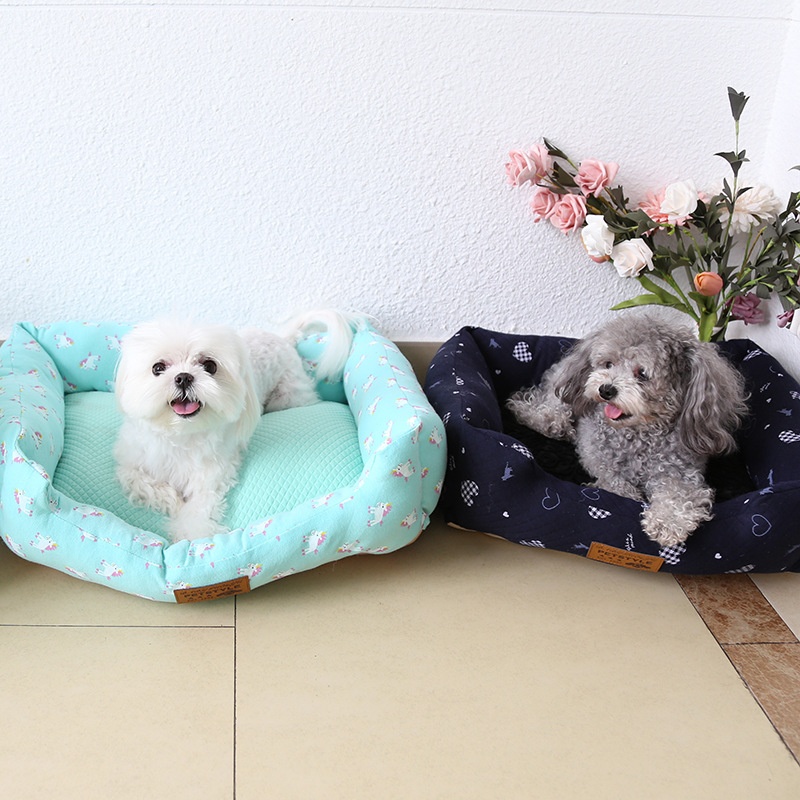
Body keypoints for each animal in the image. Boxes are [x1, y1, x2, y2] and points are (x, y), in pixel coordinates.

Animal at [114, 310, 362, 542]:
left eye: (210, 365)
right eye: (157, 368)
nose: (184, 377)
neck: (181, 435)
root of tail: (282, 337)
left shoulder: (214, 472)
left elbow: (200, 505)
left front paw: (192, 530)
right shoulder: (131, 462)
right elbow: (140, 482)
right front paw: (175, 502)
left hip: (289, 395)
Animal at [506, 313, 749, 547]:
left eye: (642, 373)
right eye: (608, 364)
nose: (606, 390)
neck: (638, 435)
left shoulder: (681, 472)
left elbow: (679, 493)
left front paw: (668, 522)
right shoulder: (599, 459)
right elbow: (616, 484)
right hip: (560, 396)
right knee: (542, 410)